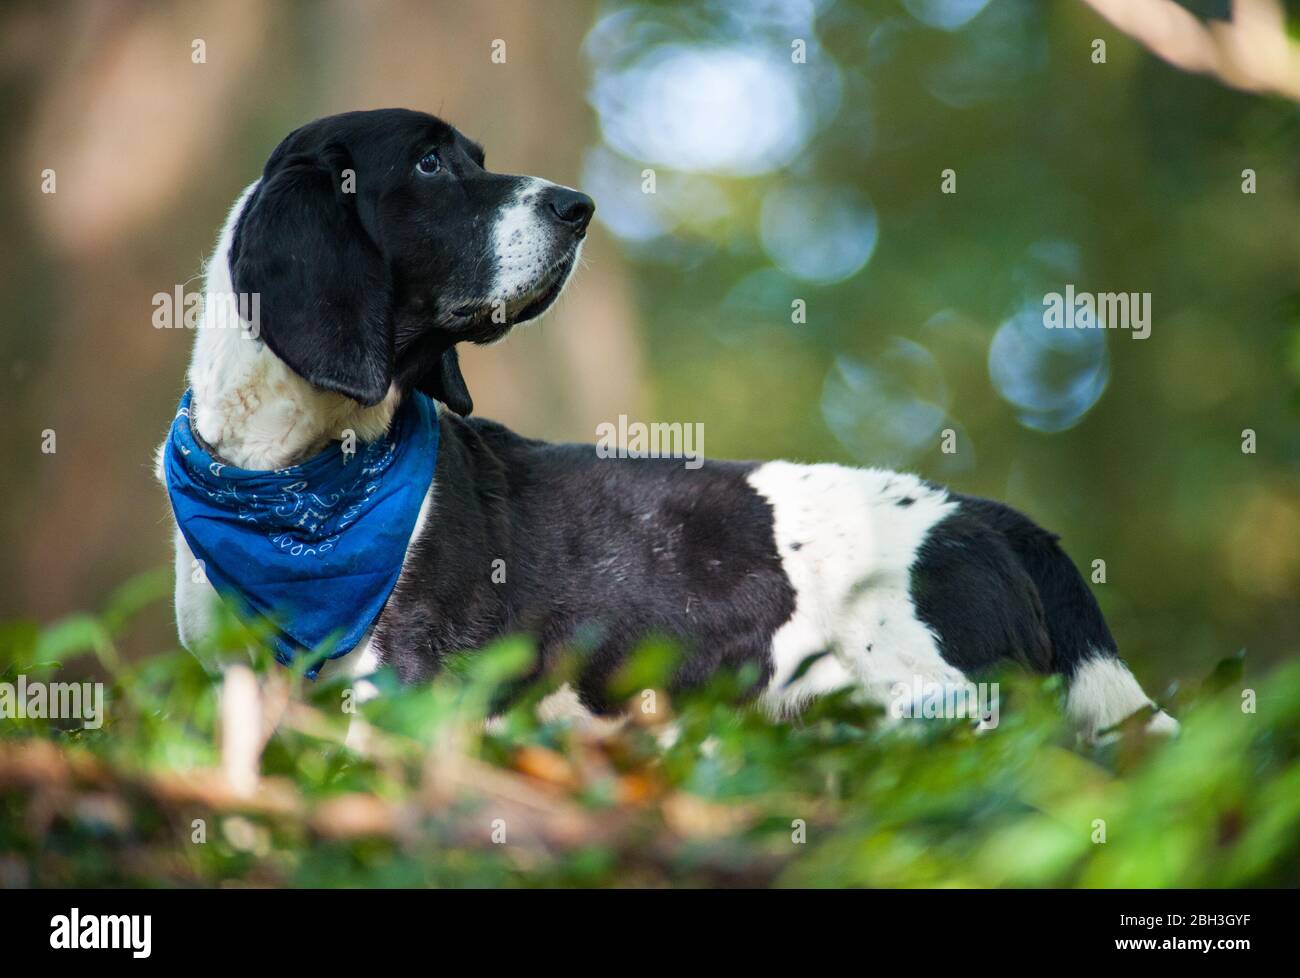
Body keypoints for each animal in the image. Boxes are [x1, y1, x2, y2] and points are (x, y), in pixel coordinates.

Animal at [157, 106, 1175, 738]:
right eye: (430, 162)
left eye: (472, 157)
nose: (578, 207)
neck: (298, 476)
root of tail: (986, 517)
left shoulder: (395, 688)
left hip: (939, 712)